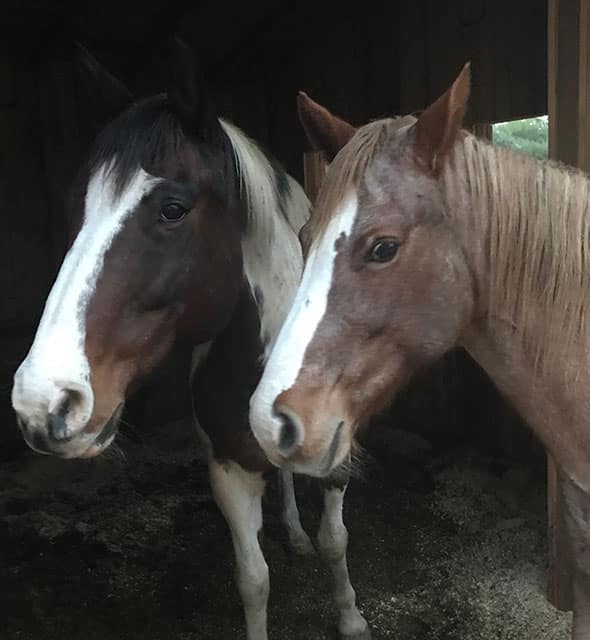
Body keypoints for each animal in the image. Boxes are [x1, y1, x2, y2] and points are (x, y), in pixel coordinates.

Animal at [10, 42, 370, 636]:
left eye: (172, 209)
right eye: (75, 207)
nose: (44, 403)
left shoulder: (336, 461)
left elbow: (336, 541)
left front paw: (350, 618)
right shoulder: (226, 472)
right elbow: (254, 580)